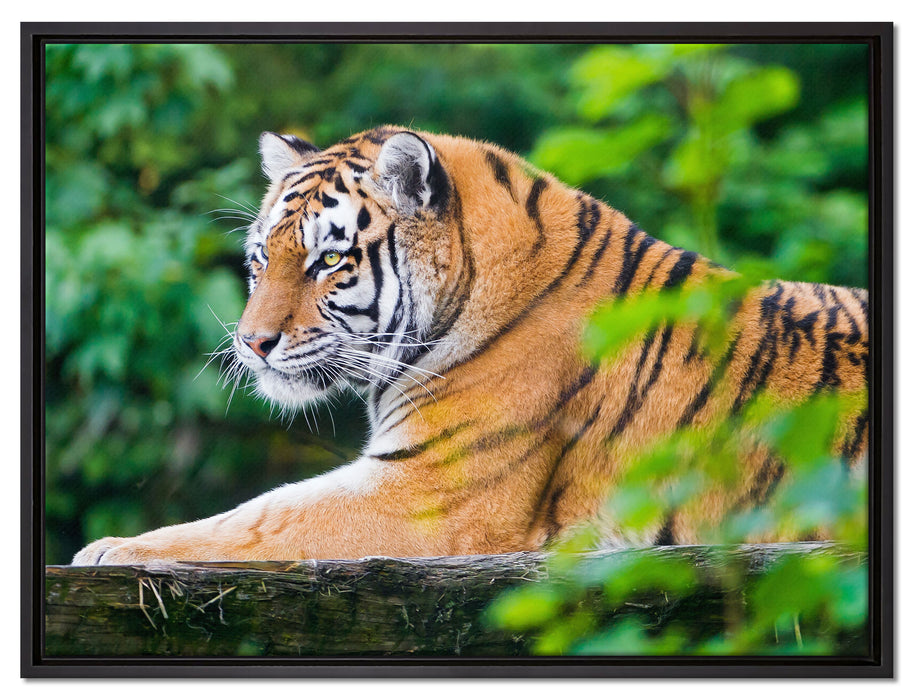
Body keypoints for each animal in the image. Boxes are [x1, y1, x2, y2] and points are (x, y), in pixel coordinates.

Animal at [71, 126, 869, 565]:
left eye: (328, 260)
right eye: (262, 259)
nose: (251, 343)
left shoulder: (428, 495)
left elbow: (264, 515)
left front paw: (110, 551)